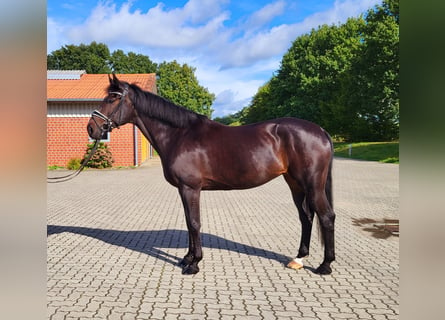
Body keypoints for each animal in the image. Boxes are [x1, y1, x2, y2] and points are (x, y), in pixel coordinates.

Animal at [87, 75, 332, 276]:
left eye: (112, 99)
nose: (91, 128)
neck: (180, 134)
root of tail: (321, 131)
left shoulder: (190, 188)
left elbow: (195, 223)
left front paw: (194, 264)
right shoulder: (184, 190)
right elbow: (188, 222)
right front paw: (187, 258)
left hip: (312, 185)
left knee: (326, 217)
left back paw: (325, 265)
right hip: (295, 184)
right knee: (306, 217)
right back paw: (298, 259)